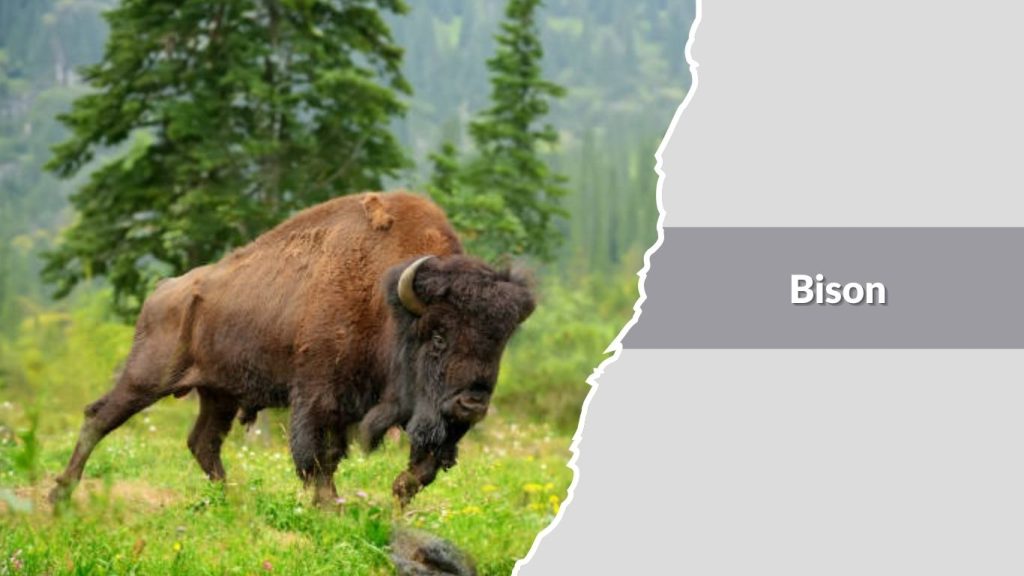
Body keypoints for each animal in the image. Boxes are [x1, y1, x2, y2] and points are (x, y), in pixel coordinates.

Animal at [49, 191, 535, 506]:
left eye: (499, 341)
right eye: (438, 335)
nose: (472, 403)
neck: (387, 302)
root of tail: (165, 289)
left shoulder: (416, 416)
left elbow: (419, 468)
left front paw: (395, 497)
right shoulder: (319, 397)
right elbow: (317, 457)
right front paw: (328, 507)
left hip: (219, 393)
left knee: (203, 442)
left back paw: (233, 500)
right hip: (146, 376)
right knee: (100, 416)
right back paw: (61, 492)